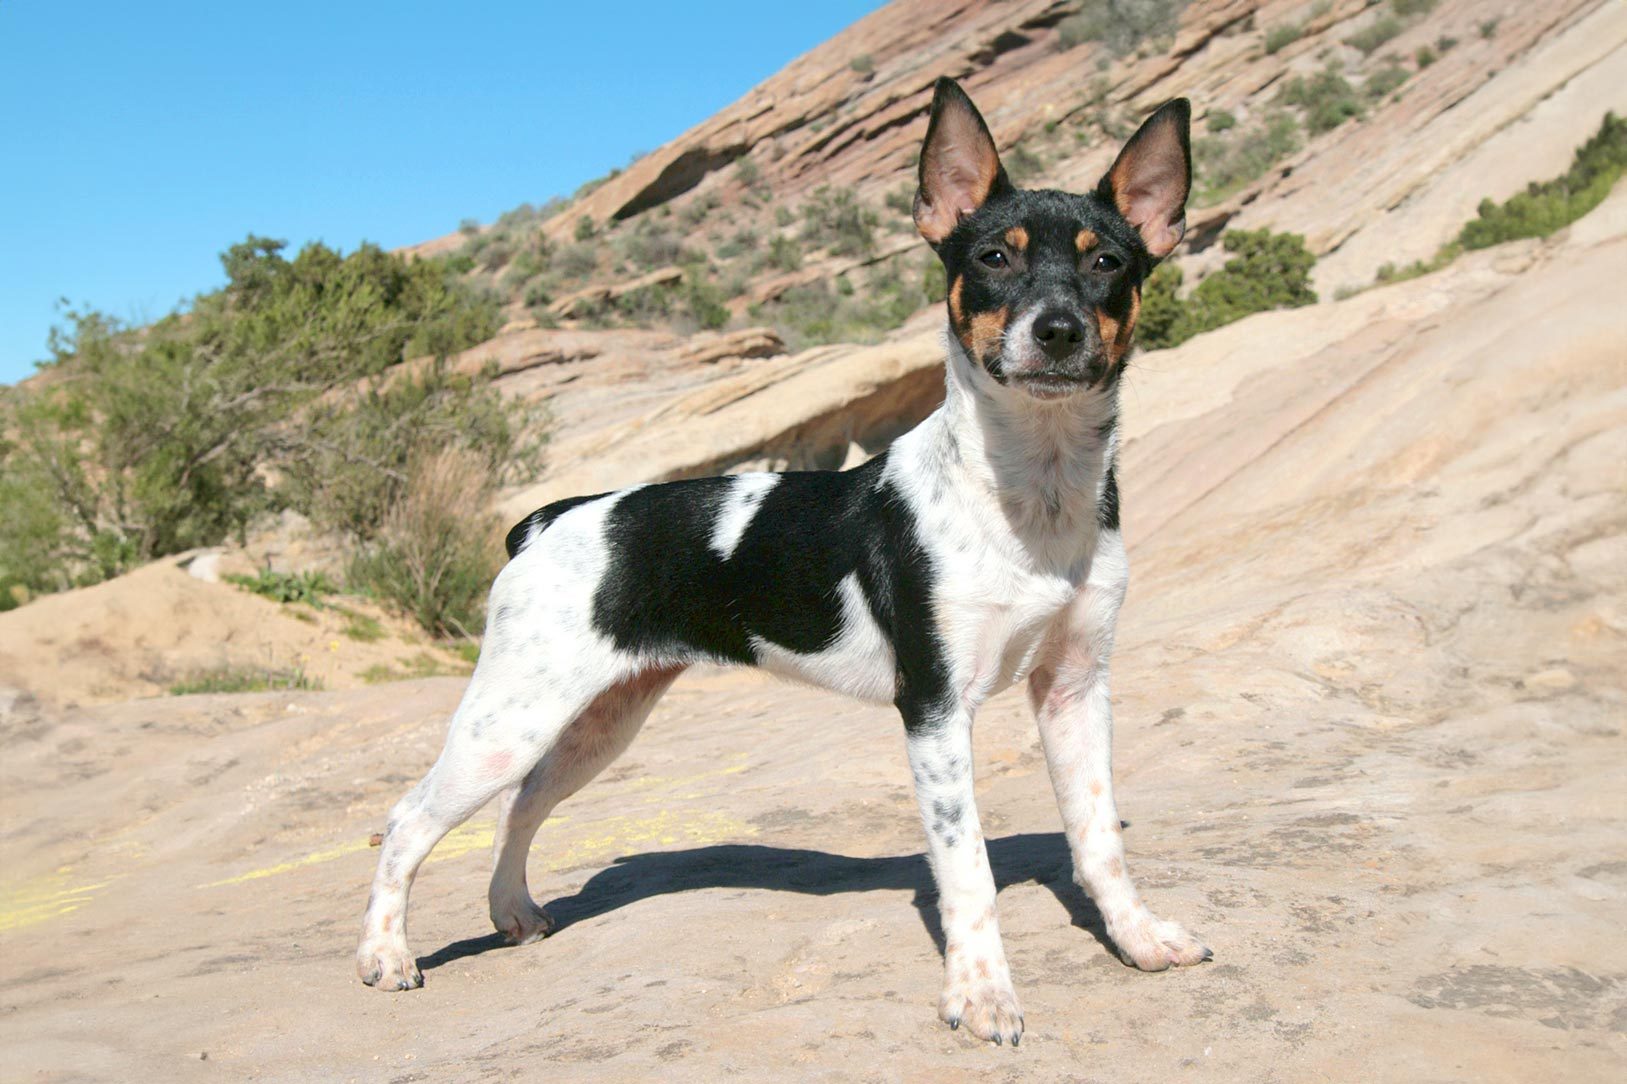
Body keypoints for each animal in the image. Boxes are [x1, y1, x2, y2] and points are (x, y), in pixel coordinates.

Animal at [362, 80, 1216, 1041]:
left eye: (1107, 262)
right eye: (994, 256)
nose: (1059, 330)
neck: (1029, 495)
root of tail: (548, 521)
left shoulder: (1073, 689)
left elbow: (1097, 841)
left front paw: (1137, 939)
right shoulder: (932, 709)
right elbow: (966, 869)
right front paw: (981, 994)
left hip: (595, 724)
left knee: (521, 806)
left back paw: (511, 912)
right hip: (508, 723)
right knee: (406, 820)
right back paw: (385, 956)